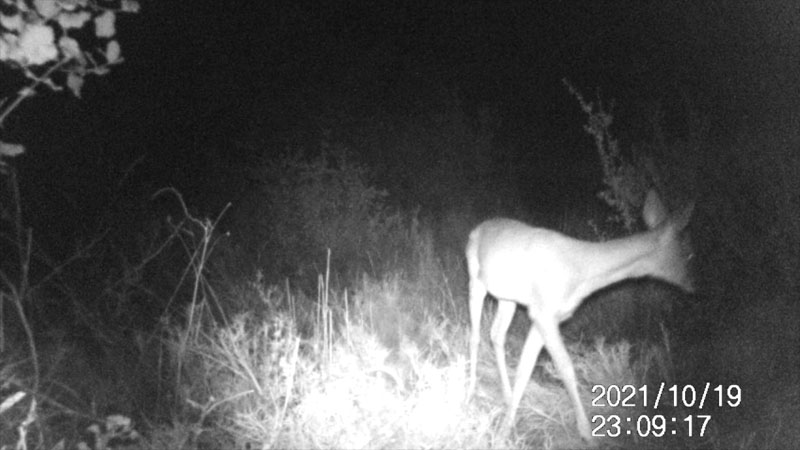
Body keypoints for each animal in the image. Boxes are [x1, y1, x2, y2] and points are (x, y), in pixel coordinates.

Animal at [462, 189, 692, 440]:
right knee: (475, 335)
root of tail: (478, 228)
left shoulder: (545, 316)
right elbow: (566, 368)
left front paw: (508, 421)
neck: (583, 271)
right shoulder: (544, 314)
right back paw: (471, 390)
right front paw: (587, 433)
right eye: (688, 253)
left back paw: (504, 393)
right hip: (475, 278)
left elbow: (525, 367)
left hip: (508, 298)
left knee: (497, 334)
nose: (694, 284)